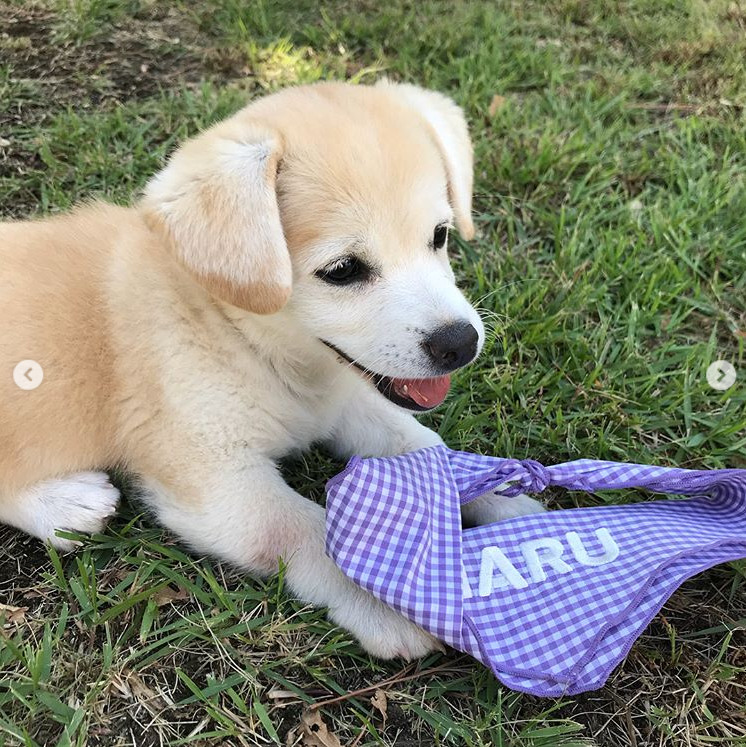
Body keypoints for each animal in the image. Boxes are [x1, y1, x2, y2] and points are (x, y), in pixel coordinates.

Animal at [0, 79, 540, 656]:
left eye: (439, 235)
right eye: (342, 270)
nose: (461, 343)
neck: (251, 343)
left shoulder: (350, 407)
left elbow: (430, 450)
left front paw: (508, 500)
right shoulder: (215, 481)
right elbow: (309, 531)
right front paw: (387, 600)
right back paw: (65, 504)